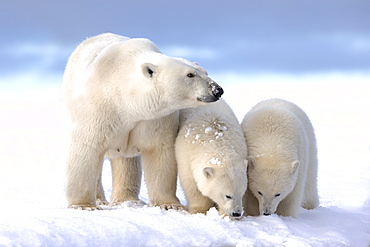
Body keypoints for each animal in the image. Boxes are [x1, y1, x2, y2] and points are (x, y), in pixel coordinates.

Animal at [62, 33, 223, 210]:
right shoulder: (99, 110)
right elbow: (86, 149)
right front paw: (84, 205)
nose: (217, 90)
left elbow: (160, 151)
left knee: (126, 161)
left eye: (205, 71)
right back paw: (101, 200)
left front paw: (170, 205)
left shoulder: (154, 119)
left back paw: (128, 200)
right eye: (190, 75)